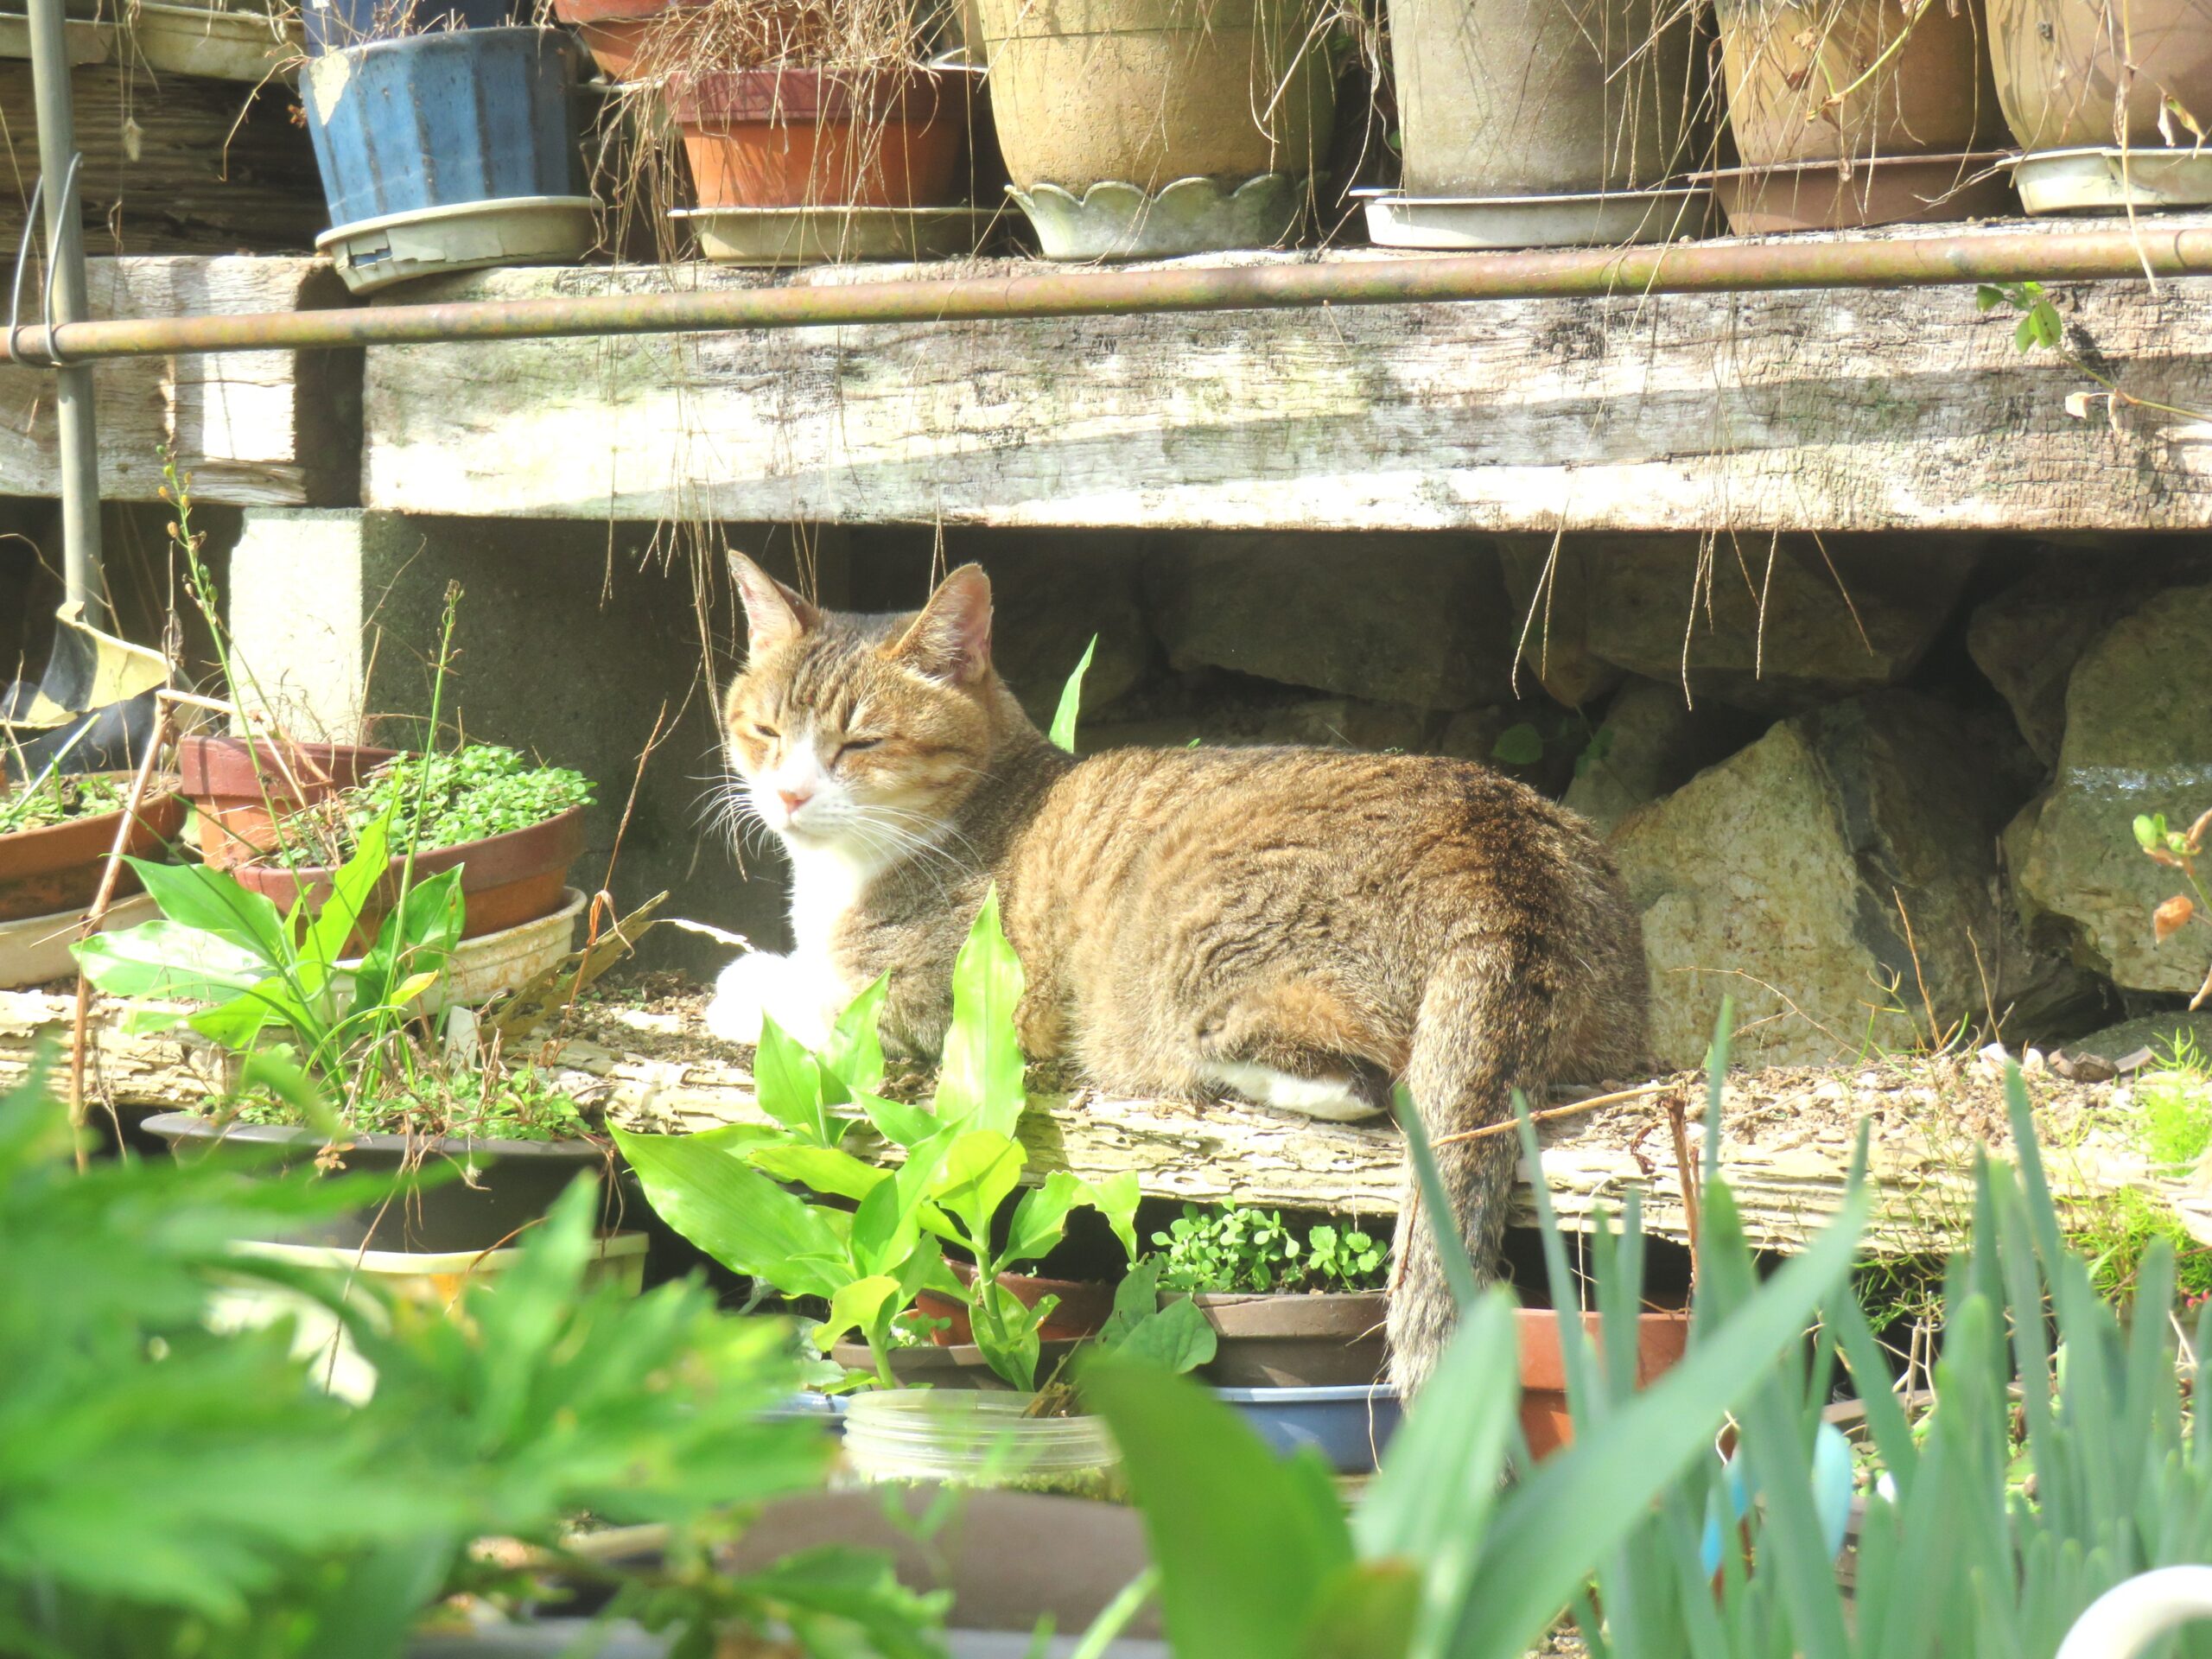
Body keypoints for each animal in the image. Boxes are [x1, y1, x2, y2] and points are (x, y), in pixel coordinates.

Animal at [708, 555, 1645, 1389]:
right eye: (764, 732)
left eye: (861, 741)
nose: (787, 796)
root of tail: (1495, 847)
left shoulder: (936, 1000)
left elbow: (805, 994)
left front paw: (743, 985)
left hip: (1197, 964)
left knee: (1358, 1075)